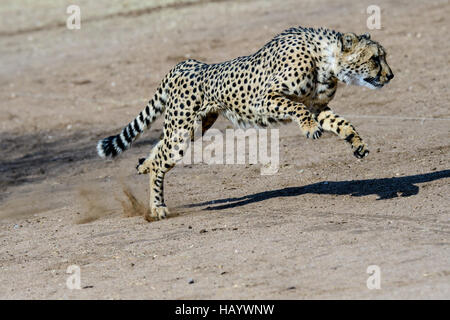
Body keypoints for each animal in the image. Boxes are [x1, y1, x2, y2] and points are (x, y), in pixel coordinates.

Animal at [96, 26, 392, 220]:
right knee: (161, 163)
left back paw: (143, 165)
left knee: (158, 148)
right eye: (375, 58)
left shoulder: (316, 107)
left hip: (193, 127)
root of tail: (185, 63)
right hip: (181, 131)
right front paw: (309, 128)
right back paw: (157, 207)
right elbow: (297, 108)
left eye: (383, 56)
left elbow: (341, 123)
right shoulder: (265, 99)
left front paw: (357, 143)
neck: (325, 60)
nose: (390, 75)